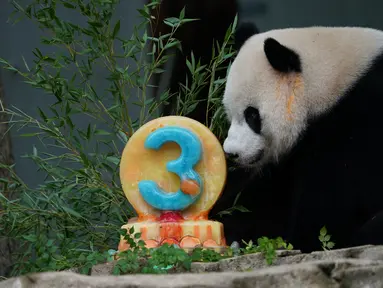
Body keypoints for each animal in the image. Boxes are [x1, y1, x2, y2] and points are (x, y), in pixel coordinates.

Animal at [212, 24, 383, 252]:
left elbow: (329, 206)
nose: (231, 153)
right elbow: (267, 197)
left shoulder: (358, 124)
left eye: (252, 115)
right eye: (231, 114)